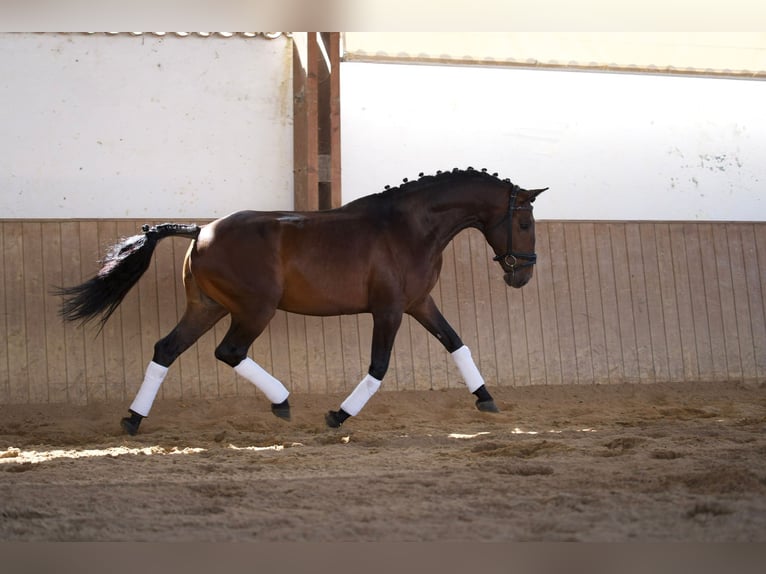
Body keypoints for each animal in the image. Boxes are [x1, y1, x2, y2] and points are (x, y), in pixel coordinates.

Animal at [57, 167, 546, 435]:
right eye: (524, 224)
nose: (522, 275)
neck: (410, 227)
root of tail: (201, 230)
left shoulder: (419, 303)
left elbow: (457, 344)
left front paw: (486, 400)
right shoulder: (388, 309)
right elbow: (379, 367)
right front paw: (337, 416)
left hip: (207, 307)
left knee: (166, 349)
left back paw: (133, 420)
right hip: (254, 309)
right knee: (229, 351)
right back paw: (282, 401)